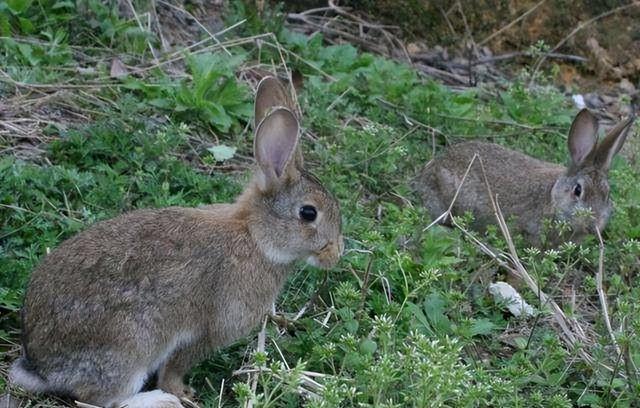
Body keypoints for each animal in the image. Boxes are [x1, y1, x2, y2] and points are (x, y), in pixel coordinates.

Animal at [7, 77, 342, 408]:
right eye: (308, 213)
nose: (336, 253)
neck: (255, 237)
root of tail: (41, 367)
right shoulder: (206, 332)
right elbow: (175, 367)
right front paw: (181, 392)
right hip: (130, 347)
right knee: (100, 398)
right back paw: (159, 399)